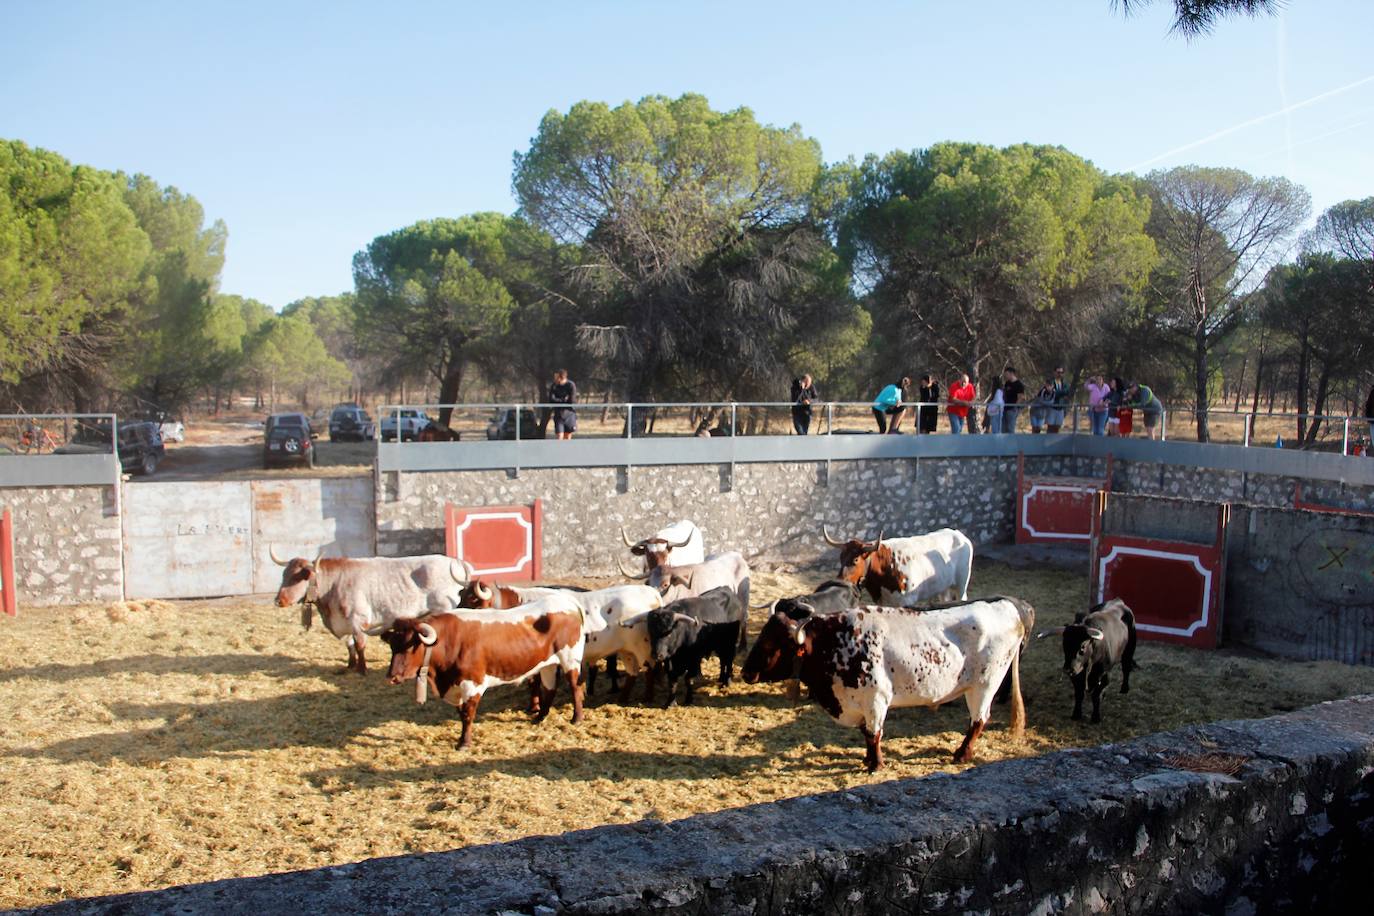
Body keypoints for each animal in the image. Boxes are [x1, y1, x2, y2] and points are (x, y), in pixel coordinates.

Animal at [270, 549, 469, 678]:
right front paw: (350, 665)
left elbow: (359, 645)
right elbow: (349, 645)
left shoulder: (358, 621)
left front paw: (362, 669)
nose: (278, 601)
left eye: (298, 577)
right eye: (284, 575)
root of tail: (456, 562)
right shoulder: (346, 623)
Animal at [379, 598, 588, 747]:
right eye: (392, 645)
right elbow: (460, 712)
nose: (391, 677)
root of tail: (567, 601)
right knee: (550, 688)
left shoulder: (473, 684)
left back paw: (576, 718)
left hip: (570, 659)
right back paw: (540, 717)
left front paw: (464, 743)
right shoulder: (456, 686)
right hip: (547, 663)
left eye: (410, 646)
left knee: (574, 687)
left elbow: (467, 714)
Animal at [741, 598, 1033, 769]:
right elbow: (866, 734)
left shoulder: (876, 700)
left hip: (984, 686)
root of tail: (1012, 605)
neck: (836, 642)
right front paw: (868, 759)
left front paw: (876, 764)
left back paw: (962, 754)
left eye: (774, 643)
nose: (745, 672)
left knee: (978, 721)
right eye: (764, 633)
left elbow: (874, 734)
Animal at [818, 530, 972, 609]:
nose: (839, 580)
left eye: (856, 559)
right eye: (841, 557)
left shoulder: (907, 601)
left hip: (961, 585)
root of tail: (959, 535)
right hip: (944, 587)